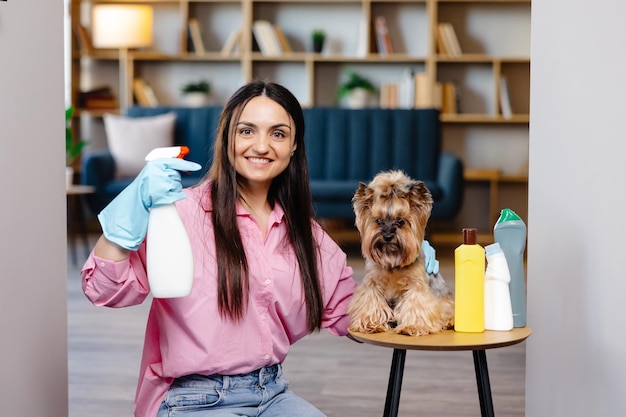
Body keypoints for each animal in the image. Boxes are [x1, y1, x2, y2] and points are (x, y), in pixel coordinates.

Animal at [346, 169, 454, 334]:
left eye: (401, 221)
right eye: (378, 221)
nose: (387, 236)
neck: (392, 260)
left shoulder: (416, 285)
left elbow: (415, 304)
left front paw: (412, 326)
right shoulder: (373, 283)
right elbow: (372, 303)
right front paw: (371, 324)